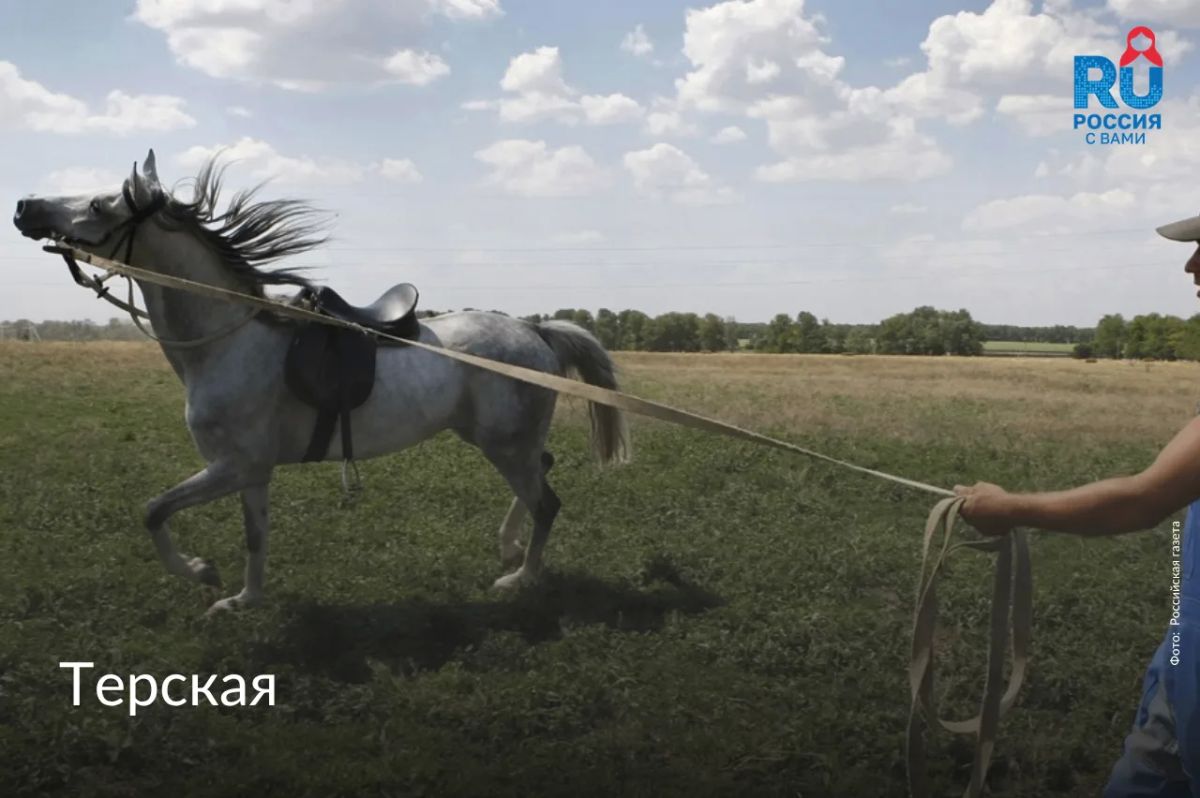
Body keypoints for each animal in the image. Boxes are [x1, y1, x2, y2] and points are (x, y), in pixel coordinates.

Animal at [12, 150, 630, 615]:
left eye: (98, 205)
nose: (23, 205)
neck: (229, 339)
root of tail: (535, 330)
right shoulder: (250, 472)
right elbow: (254, 536)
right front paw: (243, 600)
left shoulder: (232, 466)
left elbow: (154, 511)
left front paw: (201, 572)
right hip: (498, 440)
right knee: (539, 477)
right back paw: (509, 547)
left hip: (504, 443)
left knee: (547, 501)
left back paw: (521, 578)